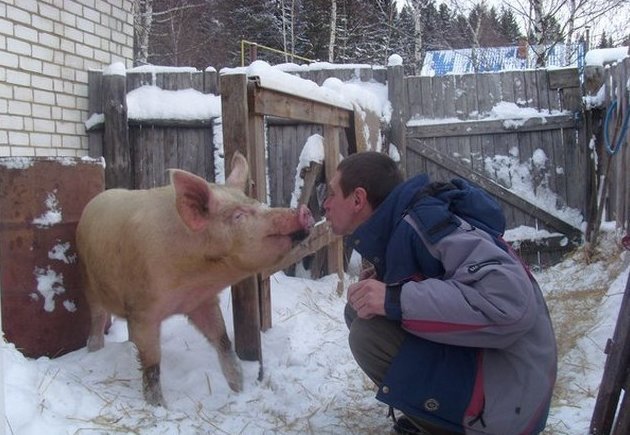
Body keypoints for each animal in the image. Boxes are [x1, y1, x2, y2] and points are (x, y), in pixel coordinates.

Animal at [76, 152, 314, 408]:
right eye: (238, 215)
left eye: (256, 201)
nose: (303, 211)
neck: (193, 280)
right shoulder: (143, 311)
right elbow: (152, 364)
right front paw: (159, 407)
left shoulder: (202, 302)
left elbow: (223, 341)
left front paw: (239, 389)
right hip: (88, 281)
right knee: (97, 318)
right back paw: (94, 351)